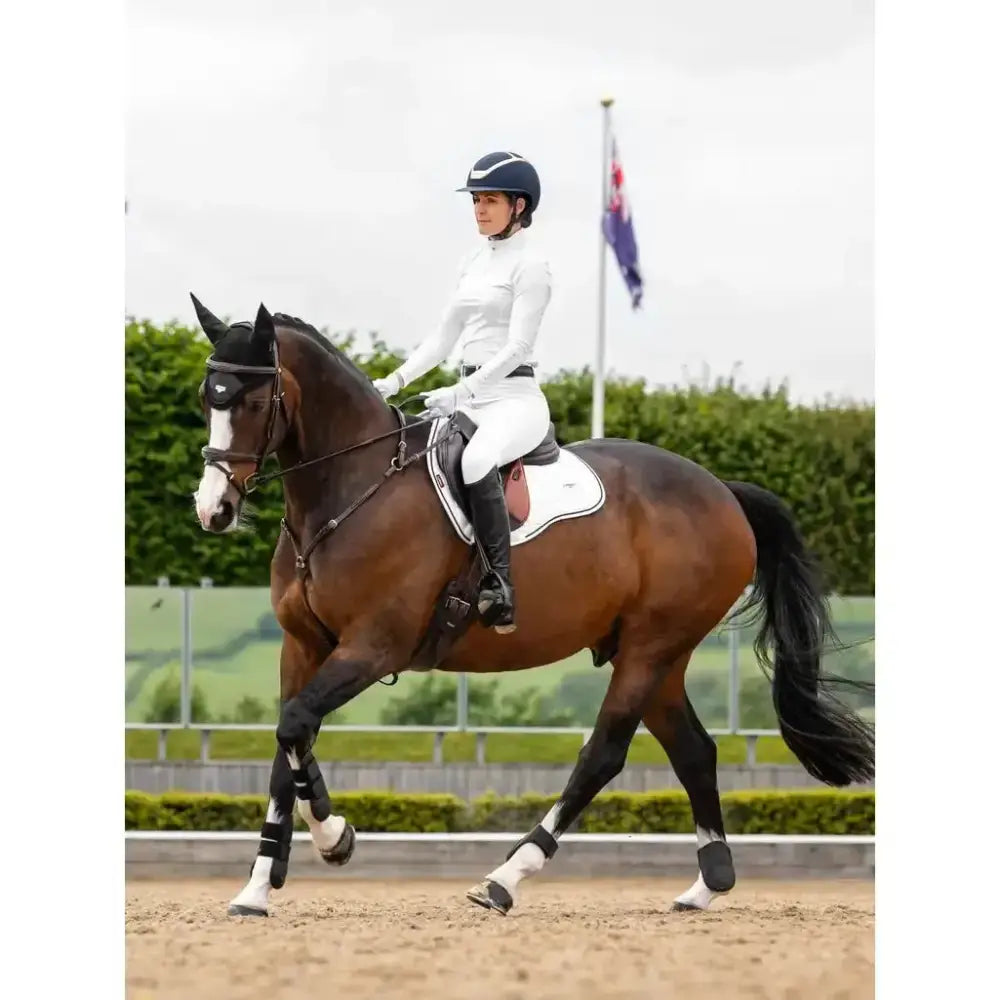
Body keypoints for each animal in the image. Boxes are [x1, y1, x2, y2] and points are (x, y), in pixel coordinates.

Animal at [189, 296, 875, 919]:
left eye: (253, 403)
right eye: (205, 399)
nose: (213, 509)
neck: (350, 488)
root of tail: (722, 492)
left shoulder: (372, 647)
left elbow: (294, 726)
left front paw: (336, 839)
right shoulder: (303, 646)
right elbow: (288, 746)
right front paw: (258, 886)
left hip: (651, 647)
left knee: (602, 755)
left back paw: (505, 878)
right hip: (656, 655)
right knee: (694, 751)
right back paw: (708, 884)